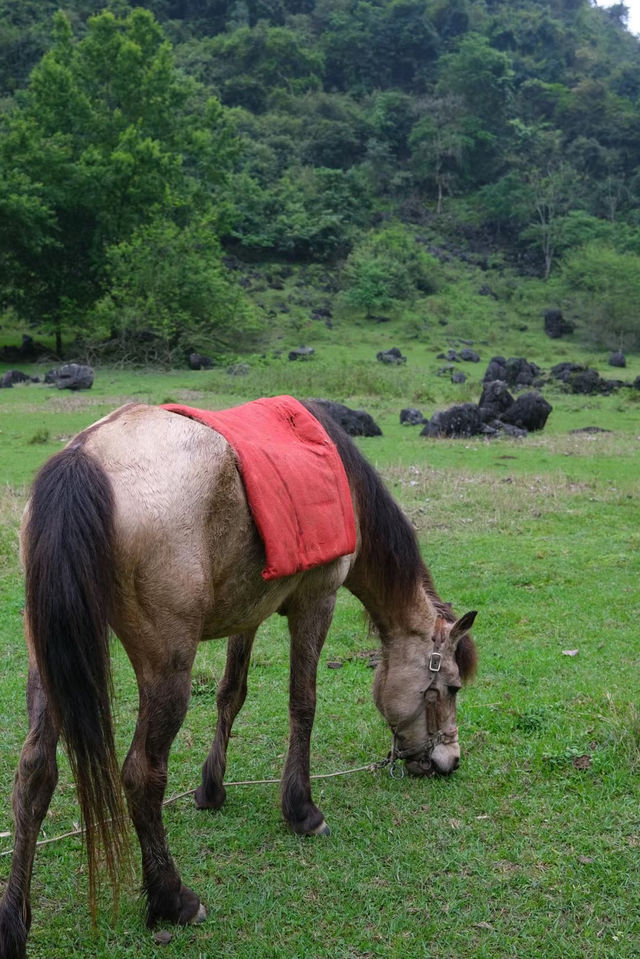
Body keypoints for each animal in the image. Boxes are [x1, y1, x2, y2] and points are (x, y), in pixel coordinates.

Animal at [0, 400, 476, 959]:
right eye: (451, 688)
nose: (449, 761)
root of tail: (85, 456)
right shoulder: (316, 602)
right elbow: (302, 703)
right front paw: (301, 810)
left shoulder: (248, 613)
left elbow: (232, 694)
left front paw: (212, 788)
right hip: (167, 669)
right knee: (141, 774)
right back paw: (173, 899)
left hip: (48, 664)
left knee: (34, 774)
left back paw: (14, 922)